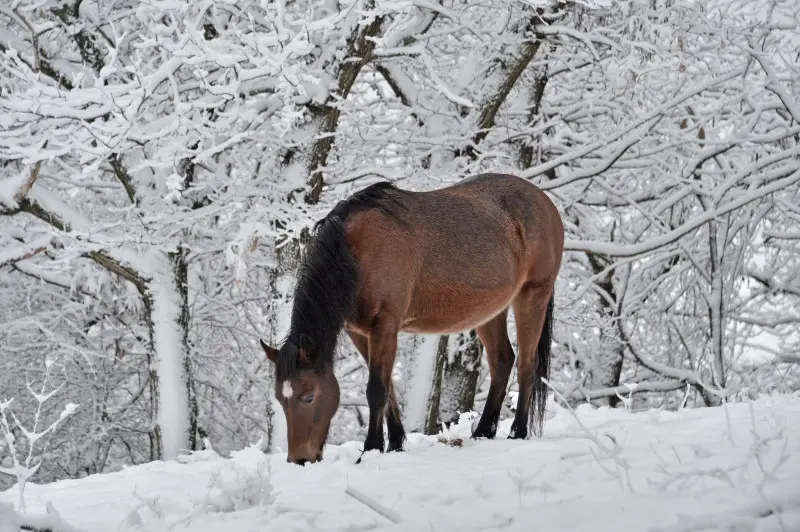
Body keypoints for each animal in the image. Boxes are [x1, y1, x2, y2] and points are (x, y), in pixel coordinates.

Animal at [260, 172, 564, 464]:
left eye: (309, 396)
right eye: (279, 398)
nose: (299, 459)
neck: (356, 250)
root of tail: (545, 202)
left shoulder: (385, 325)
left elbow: (376, 390)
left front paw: (370, 449)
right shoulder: (361, 332)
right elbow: (389, 389)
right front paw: (395, 444)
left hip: (532, 296)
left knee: (526, 364)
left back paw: (517, 432)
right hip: (491, 311)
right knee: (502, 360)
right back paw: (482, 432)